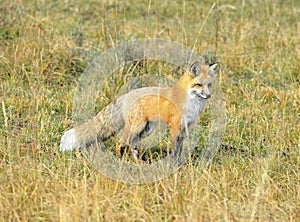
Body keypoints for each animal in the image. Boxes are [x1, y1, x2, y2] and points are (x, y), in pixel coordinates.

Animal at [60, 61, 220, 162]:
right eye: (198, 85)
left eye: (209, 85)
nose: (208, 96)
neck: (191, 102)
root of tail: (127, 94)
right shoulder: (175, 126)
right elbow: (175, 149)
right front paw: (173, 164)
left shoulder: (184, 128)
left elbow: (180, 148)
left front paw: (180, 163)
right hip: (137, 127)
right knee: (120, 143)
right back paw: (121, 161)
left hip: (146, 129)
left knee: (131, 145)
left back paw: (138, 162)